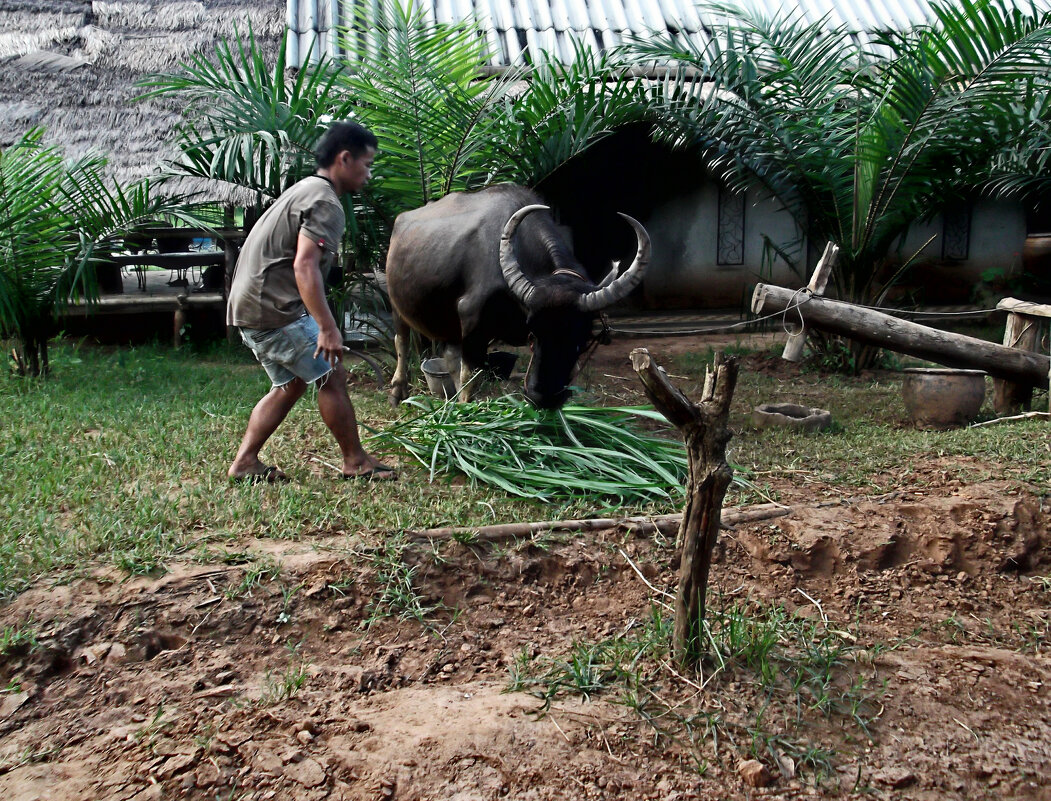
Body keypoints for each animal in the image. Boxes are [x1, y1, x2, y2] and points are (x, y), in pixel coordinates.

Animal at [386, 183, 647, 407]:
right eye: (533, 329)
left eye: (583, 335)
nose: (543, 398)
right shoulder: (471, 322)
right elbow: (470, 379)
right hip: (396, 304)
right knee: (402, 341)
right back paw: (398, 392)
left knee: (448, 356)